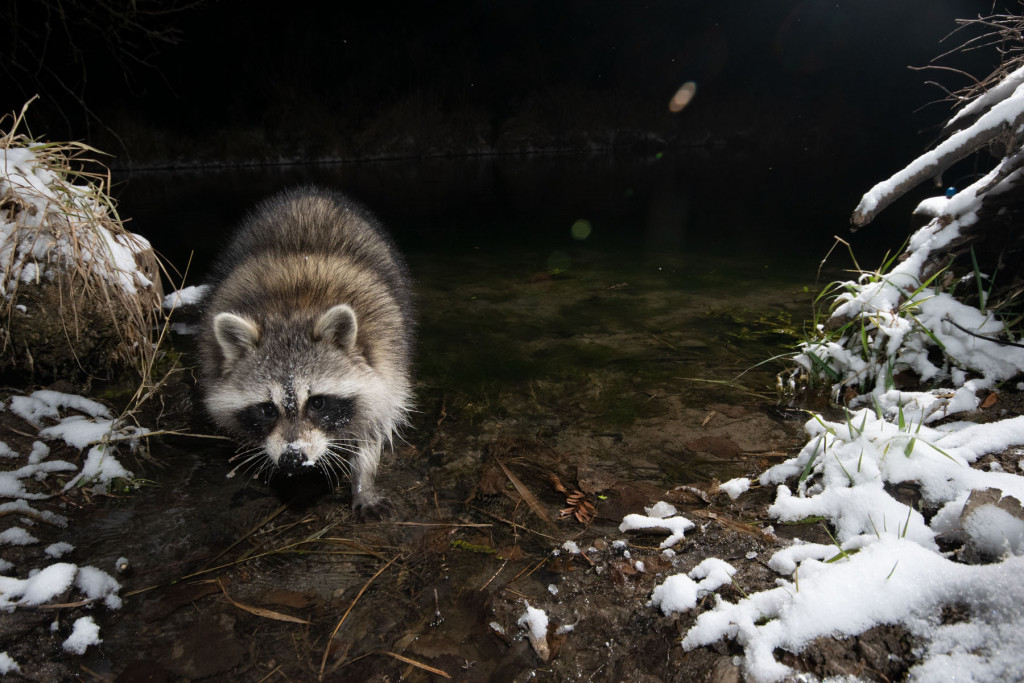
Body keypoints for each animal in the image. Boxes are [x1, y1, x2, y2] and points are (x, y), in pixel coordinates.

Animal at [197, 187, 413, 518]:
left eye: (318, 402)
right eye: (267, 409)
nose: (293, 459)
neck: (292, 309)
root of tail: (309, 194)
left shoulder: (387, 356)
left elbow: (375, 420)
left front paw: (363, 481)